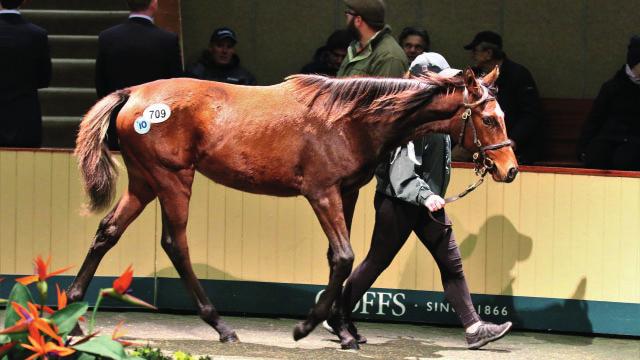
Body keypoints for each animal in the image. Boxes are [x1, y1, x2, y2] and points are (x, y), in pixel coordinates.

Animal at [70, 67, 516, 348]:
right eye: (488, 119)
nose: (509, 169)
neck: (351, 119)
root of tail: (134, 94)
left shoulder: (346, 193)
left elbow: (342, 261)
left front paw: (345, 332)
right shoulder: (321, 193)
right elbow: (344, 256)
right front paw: (307, 327)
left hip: (144, 182)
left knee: (108, 231)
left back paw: (74, 310)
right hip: (173, 179)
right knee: (174, 243)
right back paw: (221, 326)